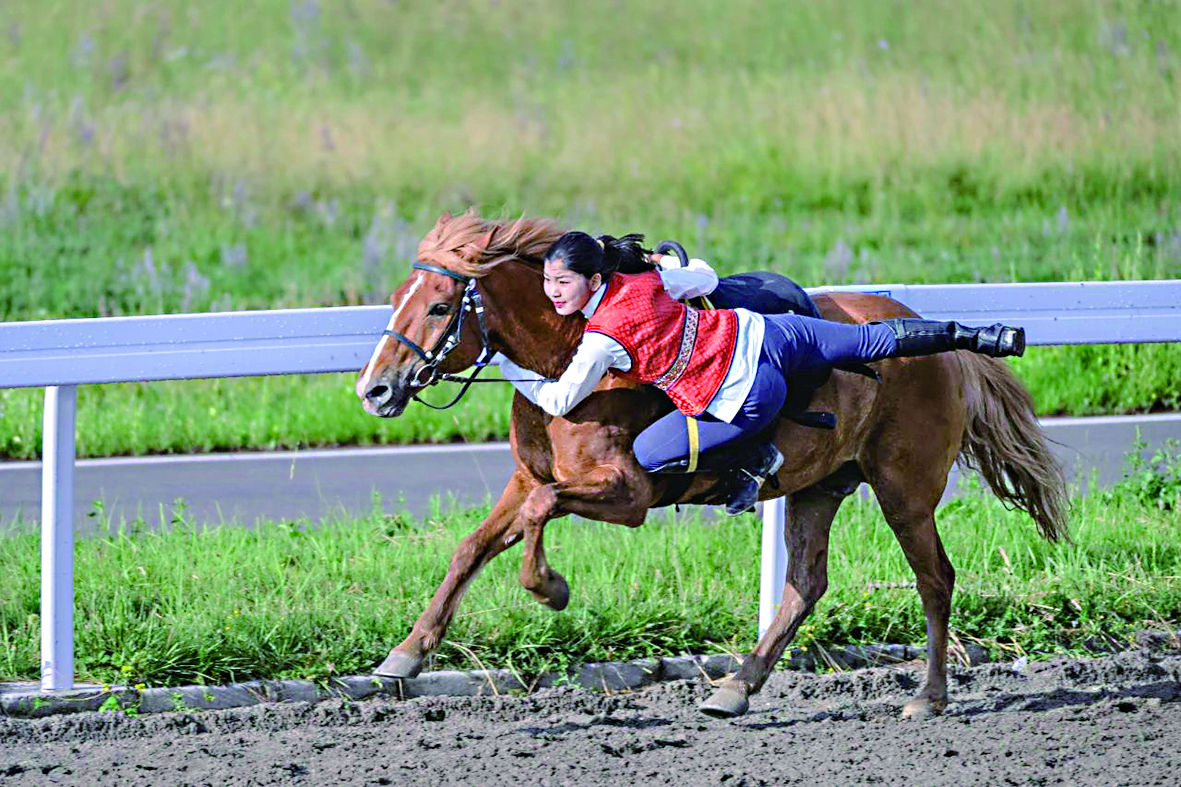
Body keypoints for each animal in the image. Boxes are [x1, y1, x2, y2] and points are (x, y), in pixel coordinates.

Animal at [354, 210, 1067, 718]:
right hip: (819, 486)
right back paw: (737, 687)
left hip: (905, 489)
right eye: (395, 295)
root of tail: (938, 345)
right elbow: (473, 546)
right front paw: (405, 655)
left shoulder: (630, 493)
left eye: (440, 305)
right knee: (804, 584)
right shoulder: (530, 475)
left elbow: (539, 512)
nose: (375, 389)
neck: (567, 351)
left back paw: (928, 695)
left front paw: (550, 588)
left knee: (935, 578)